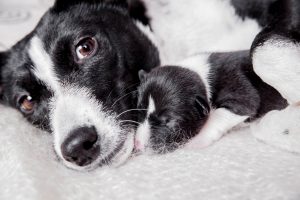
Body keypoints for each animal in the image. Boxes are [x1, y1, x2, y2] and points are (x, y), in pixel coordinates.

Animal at [135, 50, 288, 152]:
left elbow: (217, 115)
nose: (138, 144)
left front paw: (197, 139)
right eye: (139, 111)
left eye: (168, 121)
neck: (200, 77)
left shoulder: (242, 94)